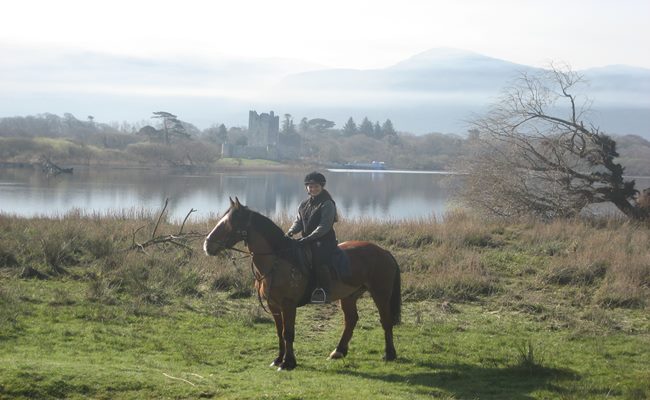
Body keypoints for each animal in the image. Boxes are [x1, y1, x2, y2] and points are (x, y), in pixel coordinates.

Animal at [202, 198, 398, 372]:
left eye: (230, 223)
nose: (207, 245)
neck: (278, 261)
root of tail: (384, 252)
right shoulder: (273, 305)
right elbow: (279, 331)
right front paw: (278, 359)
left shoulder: (288, 305)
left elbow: (288, 332)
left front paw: (288, 363)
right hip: (349, 296)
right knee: (351, 320)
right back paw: (339, 351)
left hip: (380, 294)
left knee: (385, 321)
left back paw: (389, 354)